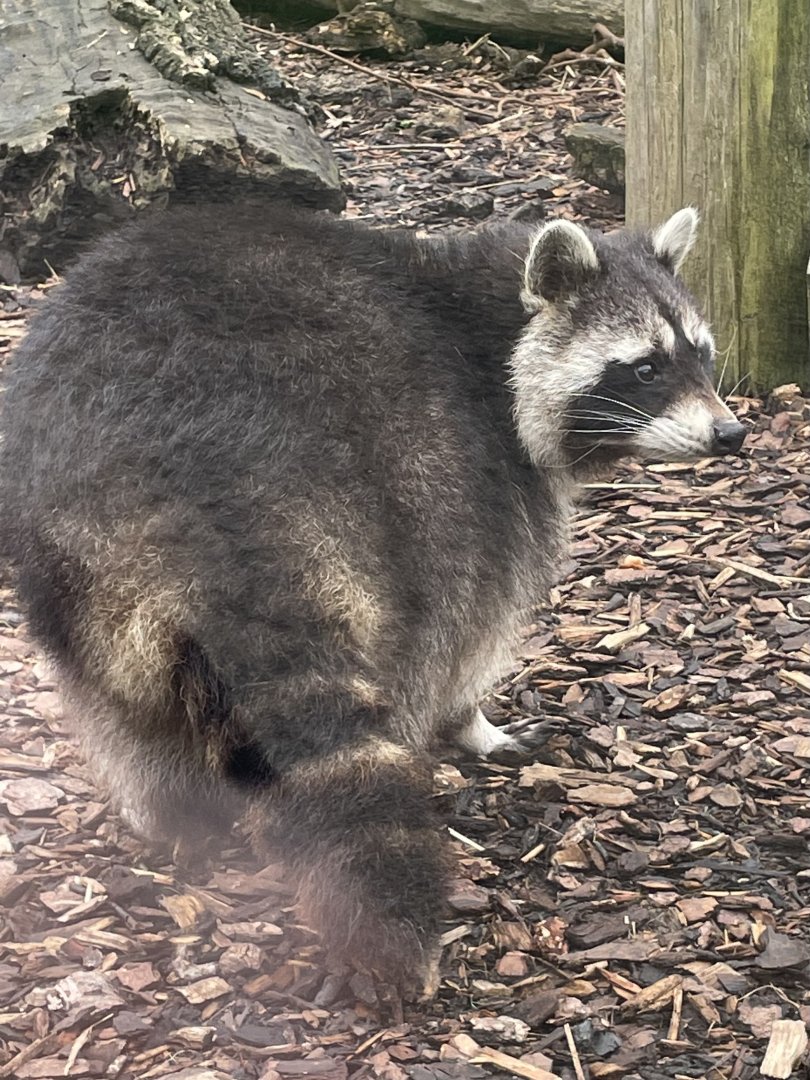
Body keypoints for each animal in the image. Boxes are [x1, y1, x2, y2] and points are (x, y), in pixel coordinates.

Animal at [0, 203, 743, 991]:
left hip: (68, 543)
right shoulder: (482, 470)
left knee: (115, 696)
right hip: (399, 476)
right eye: (645, 368)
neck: (487, 322)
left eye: (703, 356)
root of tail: (194, 456)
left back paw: (168, 806)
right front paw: (473, 724)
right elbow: (479, 623)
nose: (731, 433)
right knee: (431, 630)